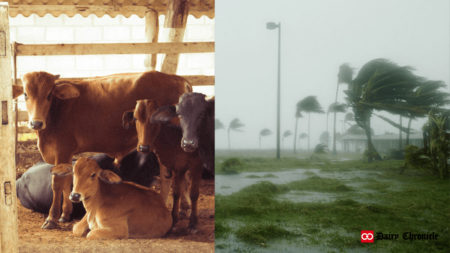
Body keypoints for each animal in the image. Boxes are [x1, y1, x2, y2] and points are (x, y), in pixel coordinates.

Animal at [121, 100, 202, 234]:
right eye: (135, 118)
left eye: (155, 119)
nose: (144, 147)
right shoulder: (174, 165)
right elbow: (174, 190)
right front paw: (173, 221)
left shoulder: (196, 164)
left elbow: (194, 193)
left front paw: (192, 225)